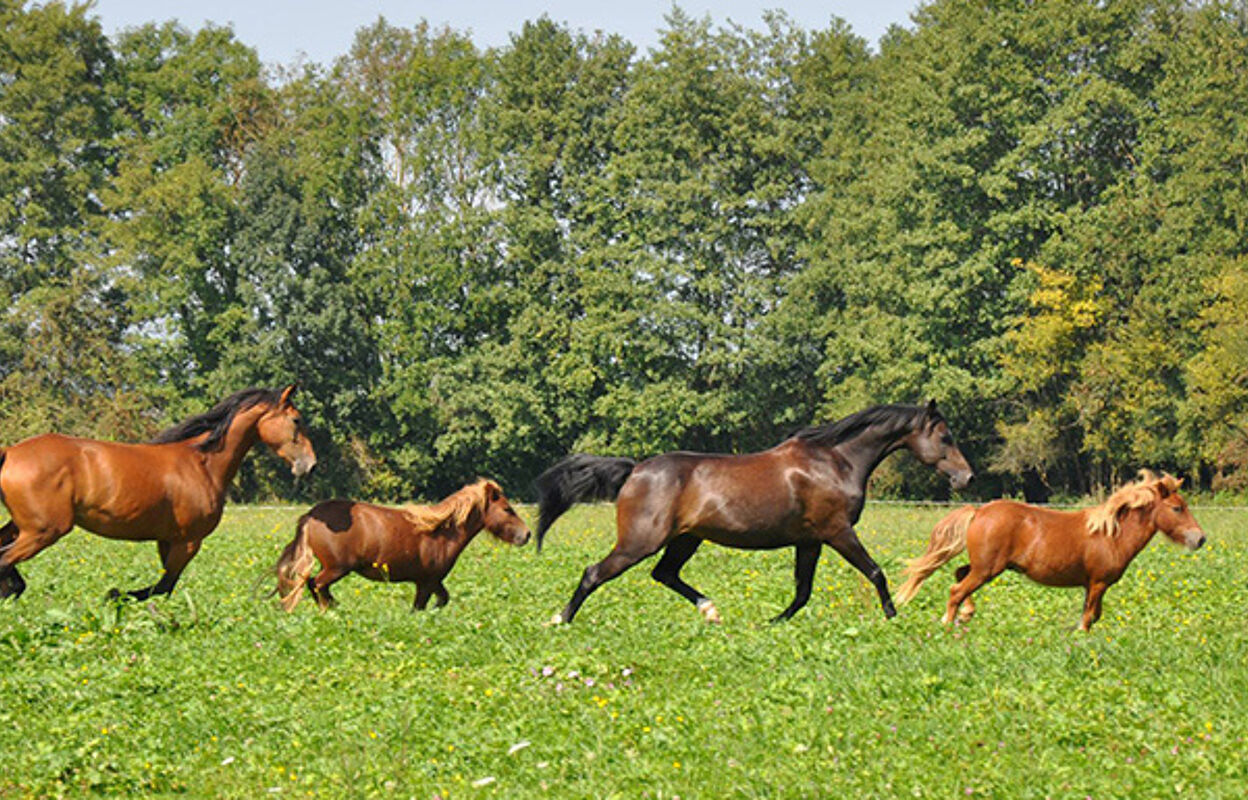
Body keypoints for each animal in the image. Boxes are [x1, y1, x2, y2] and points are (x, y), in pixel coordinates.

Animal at [0, 381, 316, 599]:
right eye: (296, 420)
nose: (310, 465)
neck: (202, 463)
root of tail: (10, 452)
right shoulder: (188, 542)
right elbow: (163, 586)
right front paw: (115, 595)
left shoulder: (167, 540)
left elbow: (164, 585)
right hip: (45, 530)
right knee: (3, 558)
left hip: (24, 526)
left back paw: (14, 588)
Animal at [275, 479, 529, 611]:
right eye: (507, 509)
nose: (526, 535)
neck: (440, 532)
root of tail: (310, 516)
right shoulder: (426, 583)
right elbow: (420, 607)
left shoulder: (433, 581)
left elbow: (443, 599)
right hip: (336, 568)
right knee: (316, 584)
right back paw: (330, 610)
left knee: (314, 585)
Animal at [536, 399, 973, 624]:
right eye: (946, 437)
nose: (966, 477)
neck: (835, 461)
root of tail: (634, 470)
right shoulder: (837, 532)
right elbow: (875, 572)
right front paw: (893, 615)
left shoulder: (810, 540)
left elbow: (802, 590)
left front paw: (775, 622)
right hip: (640, 541)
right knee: (594, 573)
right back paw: (561, 619)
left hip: (685, 539)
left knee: (664, 574)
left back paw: (711, 611)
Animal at [898, 469, 1208, 629]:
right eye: (1177, 508)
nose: (1200, 539)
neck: (1111, 534)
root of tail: (979, 511)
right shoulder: (1098, 583)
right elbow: (1088, 618)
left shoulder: (1092, 586)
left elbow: (1092, 615)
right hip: (987, 569)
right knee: (956, 590)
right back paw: (949, 621)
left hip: (984, 566)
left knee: (959, 575)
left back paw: (966, 614)